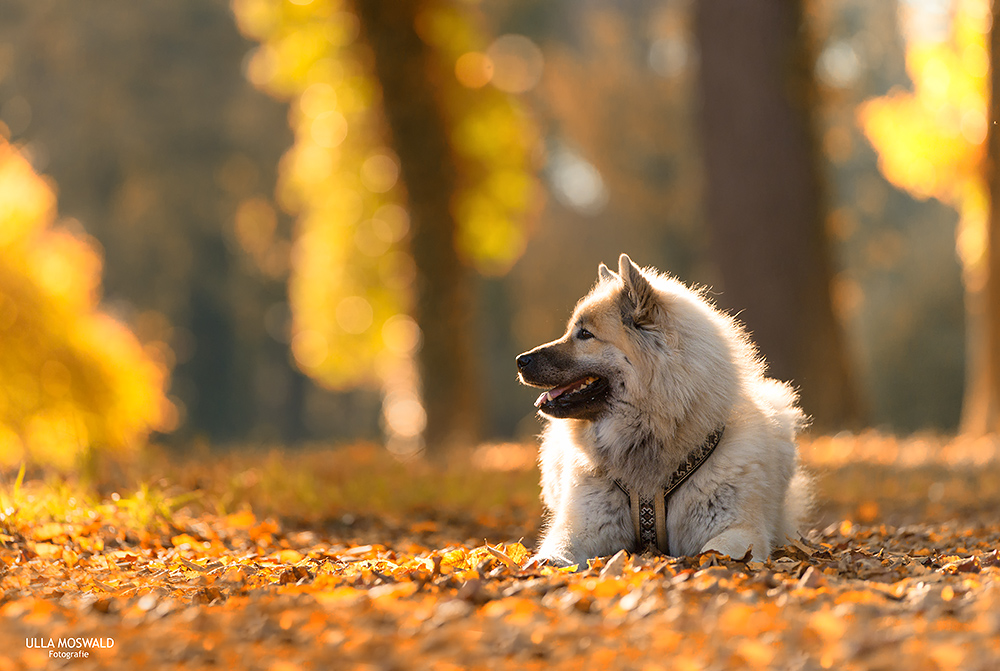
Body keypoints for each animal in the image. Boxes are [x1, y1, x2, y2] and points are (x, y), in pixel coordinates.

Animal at [520, 256, 808, 568]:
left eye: (585, 334)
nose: (520, 361)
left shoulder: (740, 529)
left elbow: (716, 551)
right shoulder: (581, 527)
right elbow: (556, 552)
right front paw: (539, 566)